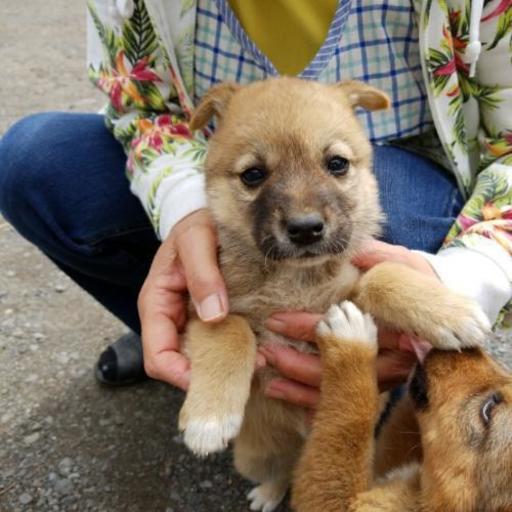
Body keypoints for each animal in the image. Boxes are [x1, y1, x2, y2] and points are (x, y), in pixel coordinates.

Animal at [178, 77, 490, 512]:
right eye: (253, 174)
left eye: (337, 163)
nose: (306, 228)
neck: (297, 281)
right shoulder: (206, 307)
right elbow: (231, 333)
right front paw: (209, 419)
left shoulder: (351, 289)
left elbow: (381, 275)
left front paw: (451, 313)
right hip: (254, 454)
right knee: (282, 468)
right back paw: (268, 492)